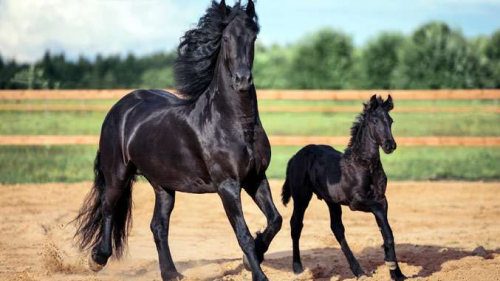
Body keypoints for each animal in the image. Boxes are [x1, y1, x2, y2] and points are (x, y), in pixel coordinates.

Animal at [76, 1, 284, 278]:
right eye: (226, 38)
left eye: (253, 37)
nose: (242, 80)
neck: (238, 125)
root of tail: (121, 107)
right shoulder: (227, 186)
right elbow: (243, 235)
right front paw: (258, 273)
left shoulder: (255, 178)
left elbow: (275, 220)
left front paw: (255, 257)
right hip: (117, 174)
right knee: (108, 208)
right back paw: (98, 258)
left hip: (163, 185)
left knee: (158, 226)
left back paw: (171, 274)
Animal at [282, 95, 406, 278]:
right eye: (375, 121)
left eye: (391, 121)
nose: (390, 145)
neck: (364, 165)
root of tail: (295, 157)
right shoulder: (357, 202)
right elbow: (381, 220)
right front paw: (390, 262)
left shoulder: (382, 199)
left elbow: (387, 231)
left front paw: (396, 271)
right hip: (301, 197)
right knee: (296, 225)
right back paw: (297, 268)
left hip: (331, 201)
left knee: (337, 228)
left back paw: (358, 270)